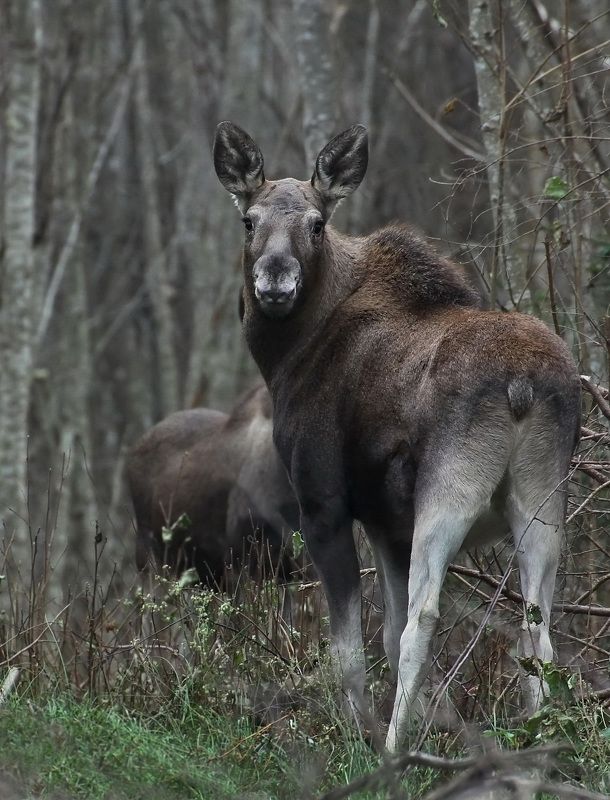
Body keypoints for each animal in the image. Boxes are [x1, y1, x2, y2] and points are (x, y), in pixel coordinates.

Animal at [213, 121, 581, 751]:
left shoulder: (324, 504)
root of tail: (522, 388)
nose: (276, 279)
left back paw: (392, 749)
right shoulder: (387, 522)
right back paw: (536, 741)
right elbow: (381, 633)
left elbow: (351, 648)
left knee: (425, 616)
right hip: (542, 496)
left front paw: (361, 733)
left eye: (317, 223)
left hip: (450, 487)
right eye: (249, 220)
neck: (284, 357)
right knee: (540, 628)